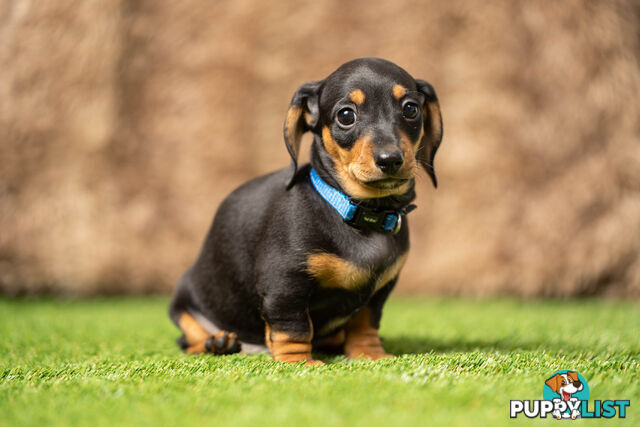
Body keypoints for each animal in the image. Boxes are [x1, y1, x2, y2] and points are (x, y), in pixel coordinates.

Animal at [168, 56, 442, 364]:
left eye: (411, 109)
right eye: (346, 116)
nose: (390, 159)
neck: (356, 213)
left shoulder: (379, 291)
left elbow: (365, 323)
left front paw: (370, 354)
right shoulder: (285, 283)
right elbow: (294, 327)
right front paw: (298, 362)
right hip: (183, 302)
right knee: (186, 339)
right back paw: (217, 342)